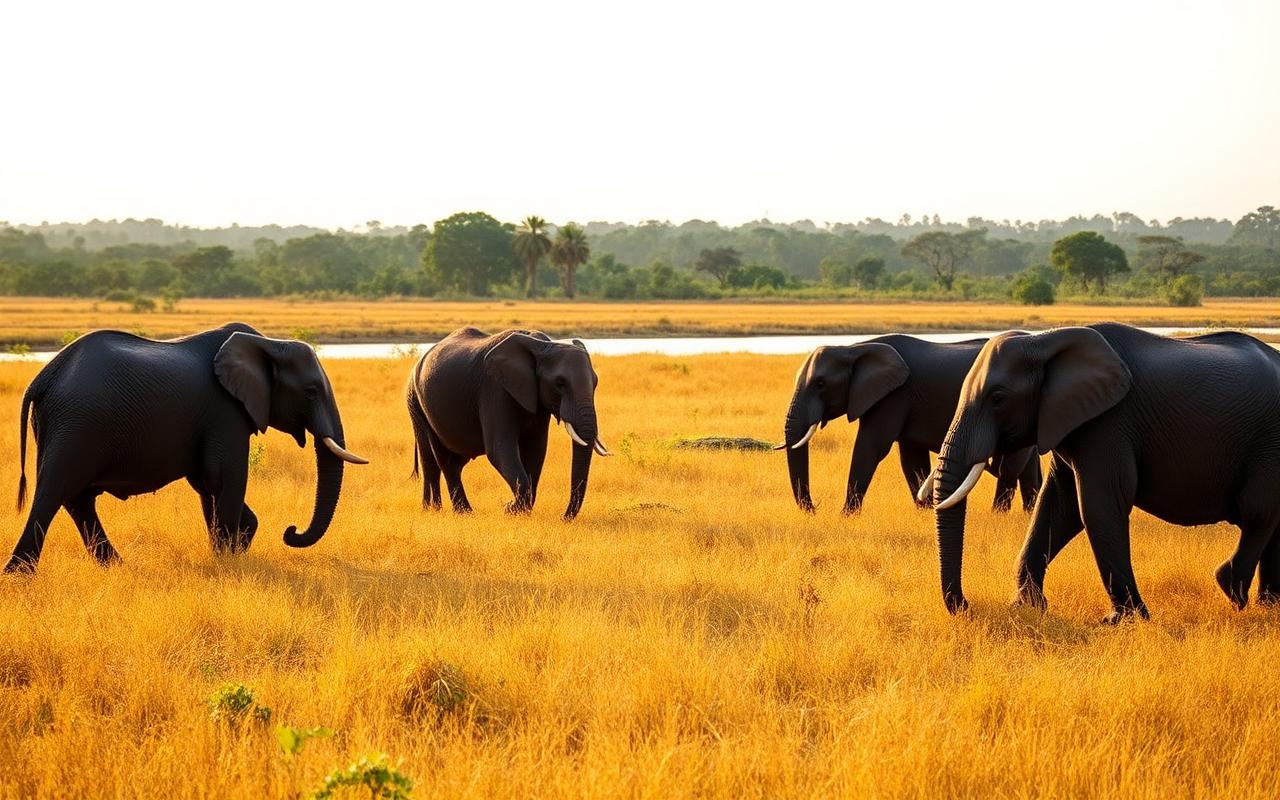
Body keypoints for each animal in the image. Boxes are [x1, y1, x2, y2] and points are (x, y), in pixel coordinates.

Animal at [7, 322, 367, 573]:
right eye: (310, 391)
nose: (290, 530)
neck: (268, 343)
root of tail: (43, 377)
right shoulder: (226, 411)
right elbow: (225, 478)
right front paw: (228, 561)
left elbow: (208, 485)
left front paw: (230, 551)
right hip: (75, 424)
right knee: (53, 493)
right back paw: (19, 576)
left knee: (78, 499)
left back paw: (117, 567)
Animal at [406, 327, 610, 520]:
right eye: (559, 383)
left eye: (596, 383)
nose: (563, 517)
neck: (542, 345)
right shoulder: (495, 389)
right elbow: (499, 449)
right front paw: (509, 509)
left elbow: (536, 451)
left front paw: (516, 510)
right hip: (417, 403)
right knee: (439, 460)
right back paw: (455, 512)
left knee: (451, 462)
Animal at [779, 335, 1041, 514]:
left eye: (820, 384)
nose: (815, 509)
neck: (854, 349)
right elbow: (911, 458)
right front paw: (924, 512)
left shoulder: (893, 397)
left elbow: (871, 447)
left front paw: (847, 516)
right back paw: (1026, 512)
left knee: (1012, 466)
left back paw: (1001, 514)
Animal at [926, 322, 1280, 621]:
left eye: (998, 399)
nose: (966, 607)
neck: (1043, 341)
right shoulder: (1069, 421)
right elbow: (1058, 506)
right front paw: (1027, 608)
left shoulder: (1108, 423)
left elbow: (1098, 506)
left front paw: (1123, 621)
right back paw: (1269, 607)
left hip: (1268, 442)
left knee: (1259, 511)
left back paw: (1232, 588)